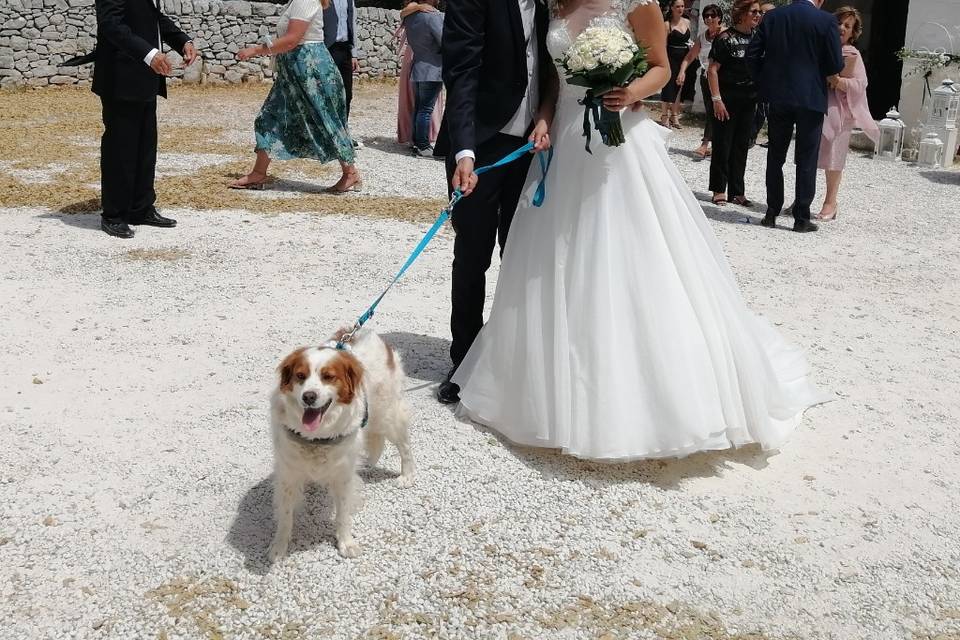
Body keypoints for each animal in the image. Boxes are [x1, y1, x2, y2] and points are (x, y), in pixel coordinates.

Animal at [266, 330, 412, 560]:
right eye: (300, 376)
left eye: (328, 376)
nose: (309, 396)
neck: (316, 438)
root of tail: (371, 333)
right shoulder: (288, 474)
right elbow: (285, 516)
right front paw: (279, 547)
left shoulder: (343, 475)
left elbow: (342, 514)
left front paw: (346, 543)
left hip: (386, 416)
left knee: (405, 446)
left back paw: (407, 476)